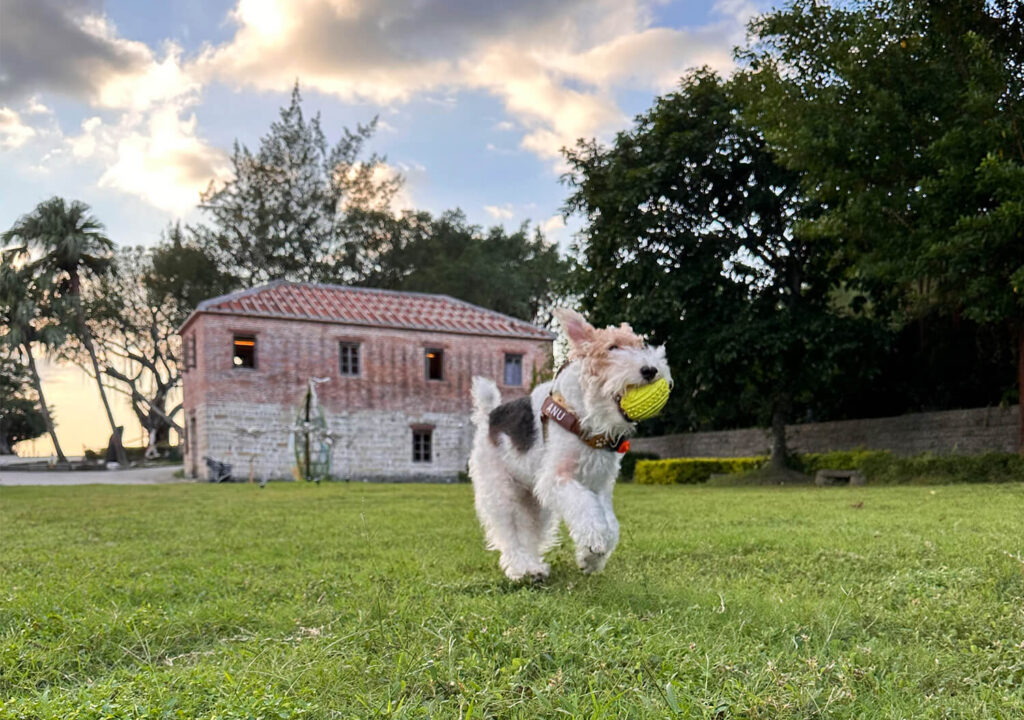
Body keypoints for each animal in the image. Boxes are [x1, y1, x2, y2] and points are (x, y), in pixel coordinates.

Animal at [466, 309, 671, 581]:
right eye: (612, 347)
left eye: (642, 345)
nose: (650, 370)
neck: (585, 415)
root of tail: (489, 415)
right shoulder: (557, 477)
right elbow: (586, 508)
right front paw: (594, 543)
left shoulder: (600, 484)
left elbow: (610, 523)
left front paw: (590, 559)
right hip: (501, 492)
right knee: (510, 535)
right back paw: (521, 568)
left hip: (535, 503)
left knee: (530, 535)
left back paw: (535, 567)